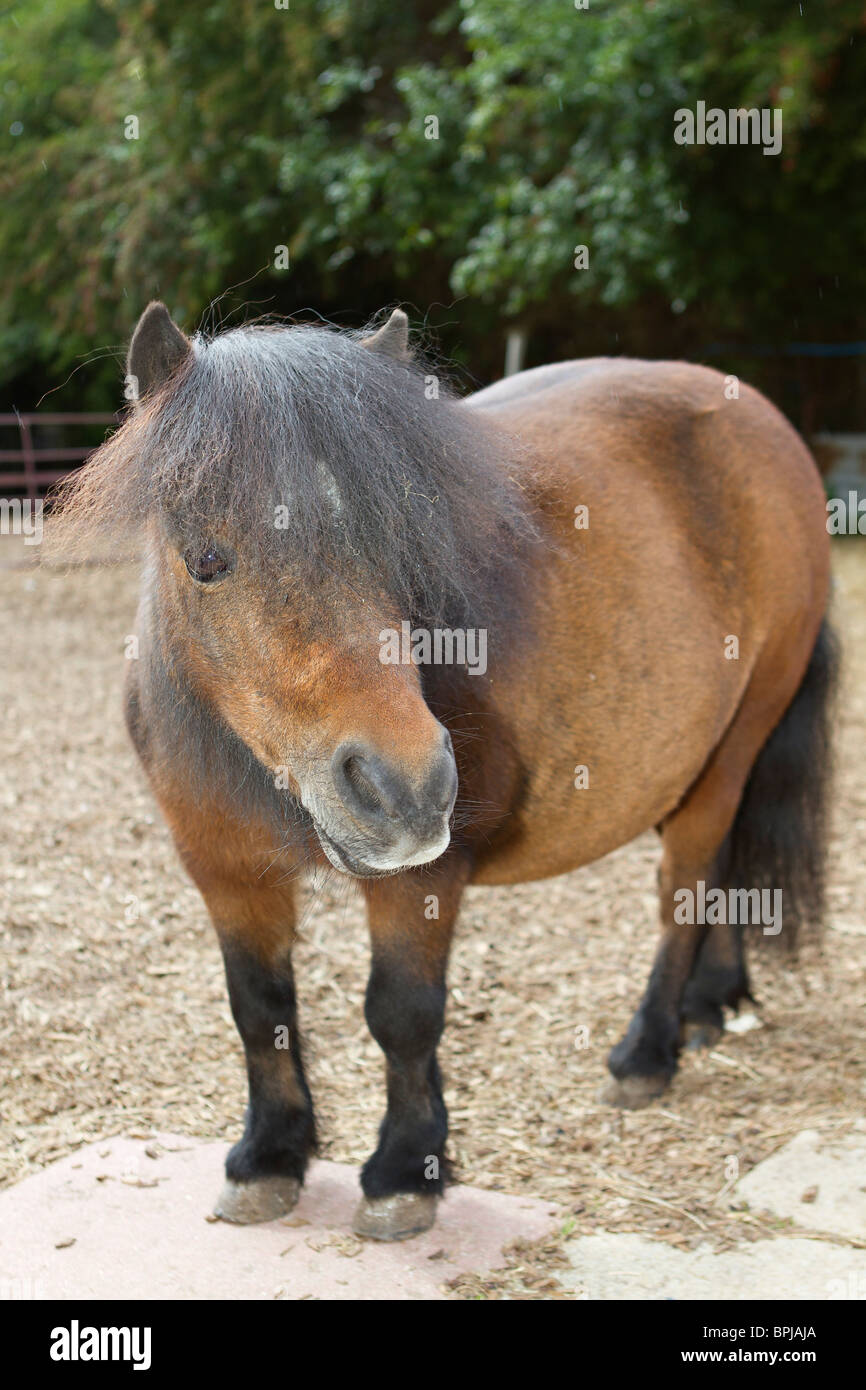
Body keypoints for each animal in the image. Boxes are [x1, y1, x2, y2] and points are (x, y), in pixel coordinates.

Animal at [50, 301, 839, 1239]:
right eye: (207, 559)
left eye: (401, 542)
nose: (407, 791)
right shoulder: (224, 871)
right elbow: (259, 1008)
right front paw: (270, 1157)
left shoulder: (424, 878)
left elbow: (402, 1013)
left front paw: (405, 1171)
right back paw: (708, 1005)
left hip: (731, 751)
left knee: (684, 885)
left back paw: (649, 1050)